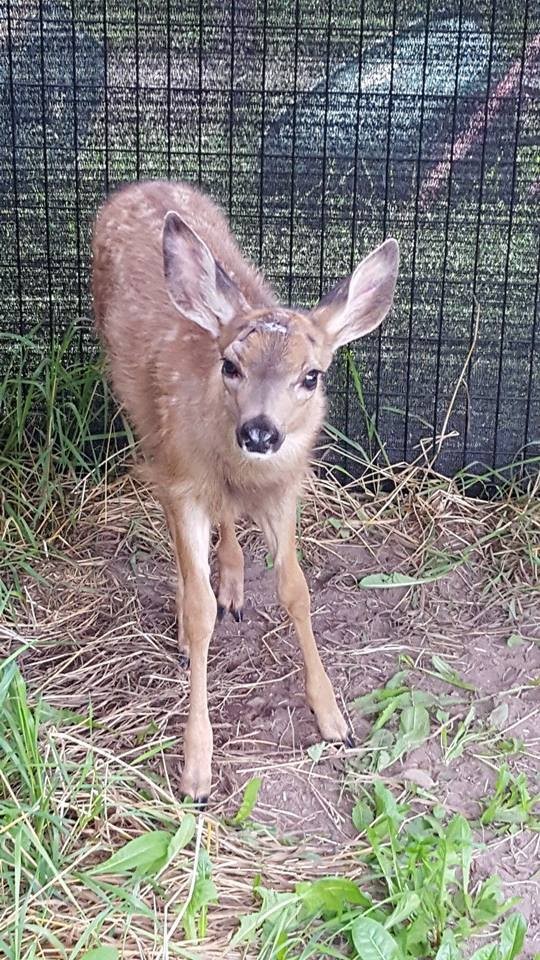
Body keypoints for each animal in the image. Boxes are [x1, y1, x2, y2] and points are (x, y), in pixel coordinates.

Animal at [92, 182, 396, 804]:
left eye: (312, 375)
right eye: (230, 365)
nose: (260, 431)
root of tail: (136, 187)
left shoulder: (284, 490)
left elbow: (296, 590)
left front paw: (333, 718)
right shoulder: (182, 478)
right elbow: (201, 609)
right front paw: (196, 769)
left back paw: (231, 579)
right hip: (141, 416)